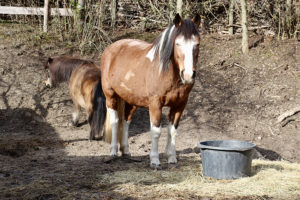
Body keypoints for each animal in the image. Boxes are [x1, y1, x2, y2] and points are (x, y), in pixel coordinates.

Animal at [99, 13, 200, 168]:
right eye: (178, 44)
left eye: (197, 44)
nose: (188, 75)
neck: (165, 71)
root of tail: (111, 48)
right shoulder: (155, 104)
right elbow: (156, 131)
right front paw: (155, 160)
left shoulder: (180, 105)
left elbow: (172, 131)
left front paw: (172, 158)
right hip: (111, 96)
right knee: (115, 121)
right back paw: (113, 152)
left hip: (131, 100)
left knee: (126, 121)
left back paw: (126, 151)